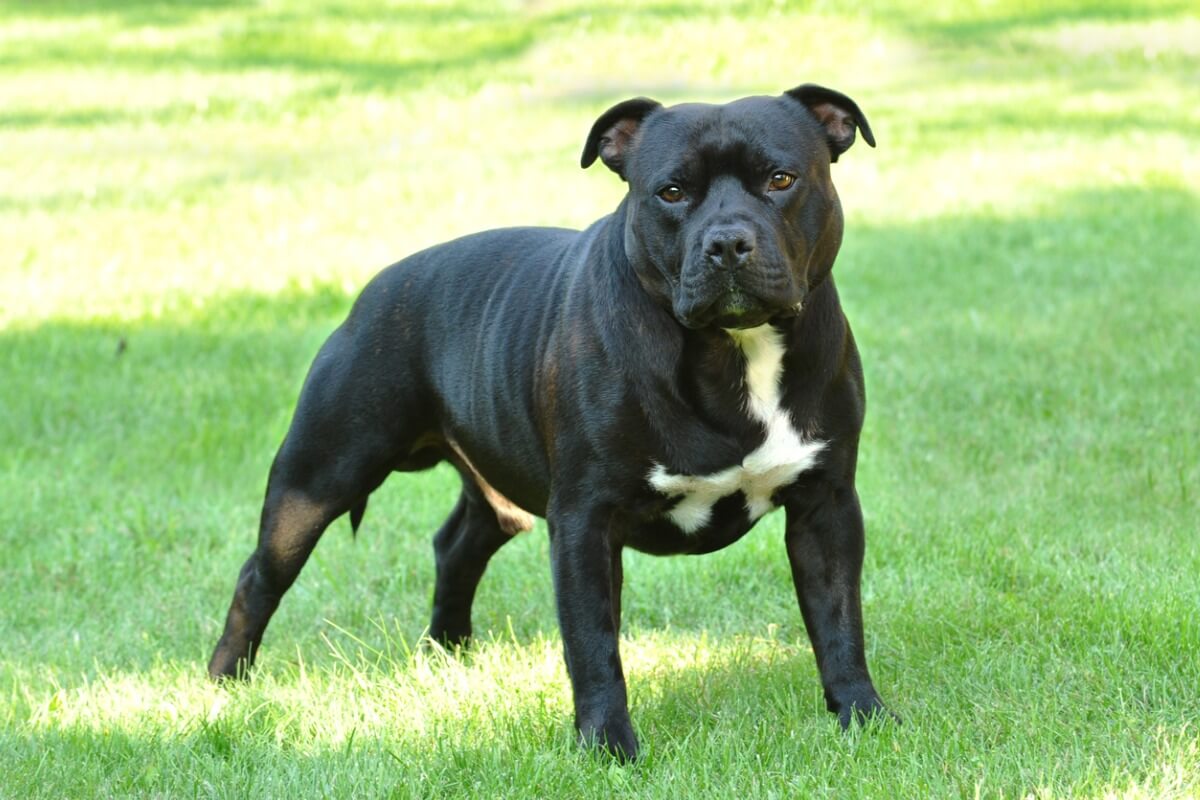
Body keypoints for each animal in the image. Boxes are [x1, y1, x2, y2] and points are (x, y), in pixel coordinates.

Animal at [208, 84, 892, 762]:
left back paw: (448, 654)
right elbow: (593, 646)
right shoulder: (585, 521)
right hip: (319, 475)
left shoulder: (826, 506)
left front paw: (862, 717)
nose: (726, 242)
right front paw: (609, 748)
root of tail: (376, 286)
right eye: (671, 192)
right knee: (258, 577)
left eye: (781, 179)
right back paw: (224, 689)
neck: (733, 350)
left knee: (458, 545)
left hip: (486, 486)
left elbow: (839, 622)